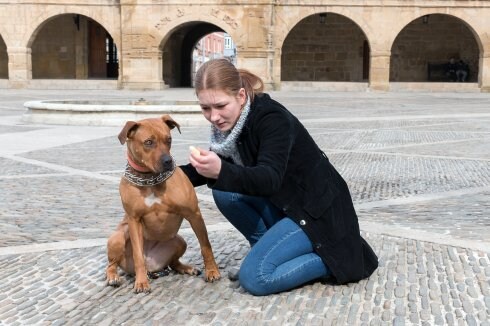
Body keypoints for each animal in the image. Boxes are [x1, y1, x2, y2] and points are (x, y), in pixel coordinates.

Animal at [107, 114, 222, 292]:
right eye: (148, 142)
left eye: (169, 139)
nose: (168, 161)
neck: (150, 179)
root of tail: (153, 267)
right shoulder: (134, 220)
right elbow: (138, 255)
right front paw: (141, 282)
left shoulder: (194, 214)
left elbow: (205, 246)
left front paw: (211, 271)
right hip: (117, 237)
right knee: (112, 264)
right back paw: (114, 277)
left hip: (179, 241)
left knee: (173, 263)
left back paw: (186, 268)